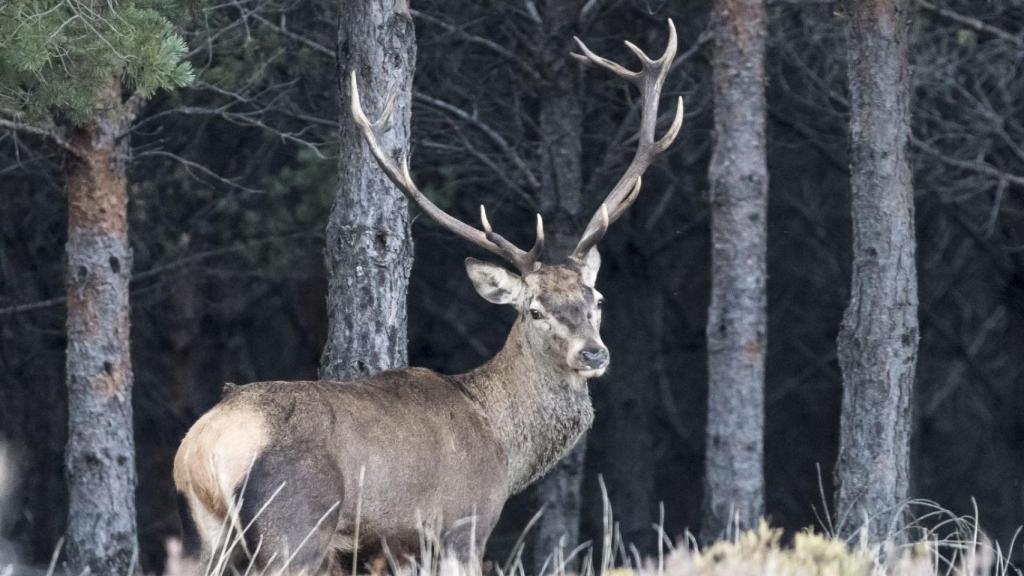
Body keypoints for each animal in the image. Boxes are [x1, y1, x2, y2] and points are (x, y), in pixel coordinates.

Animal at [172, 20, 684, 569]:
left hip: (208, 537)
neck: (504, 449)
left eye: (597, 300)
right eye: (534, 310)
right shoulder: (463, 523)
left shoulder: (393, 551)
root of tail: (201, 449)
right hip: (294, 525)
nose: (593, 353)